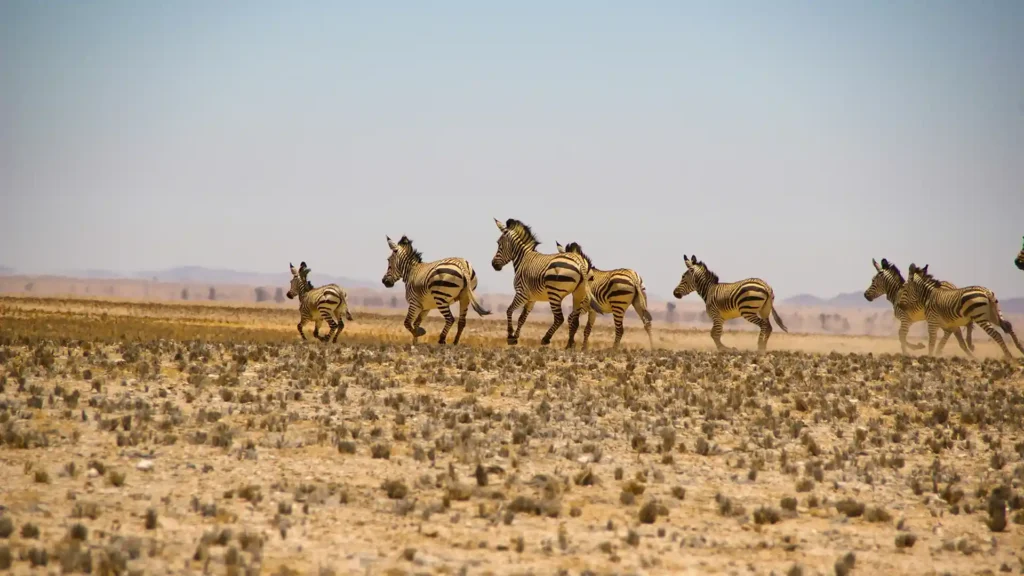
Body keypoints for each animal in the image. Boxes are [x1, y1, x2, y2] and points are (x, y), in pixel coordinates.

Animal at [493, 217, 598, 348]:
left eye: (499, 243)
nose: (493, 264)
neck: (524, 259)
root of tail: (579, 262)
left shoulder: (521, 293)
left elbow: (509, 310)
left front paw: (510, 335)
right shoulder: (532, 298)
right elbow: (522, 317)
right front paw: (515, 337)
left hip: (555, 293)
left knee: (559, 318)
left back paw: (546, 339)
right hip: (579, 294)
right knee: (574, 319)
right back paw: (569, 345)